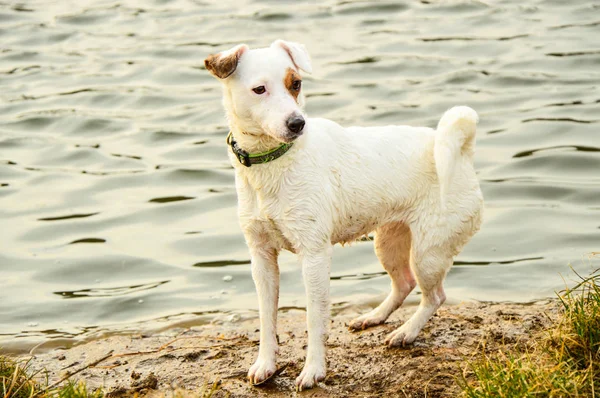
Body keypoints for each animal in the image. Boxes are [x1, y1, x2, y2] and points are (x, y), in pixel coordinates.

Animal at [205, 41, 482, 392]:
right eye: (259, 90)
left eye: (296, 84)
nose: (297, 123)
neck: (273, 161)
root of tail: (463, 152)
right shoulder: (262, 258)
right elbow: (267, 319)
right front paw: (266, 365)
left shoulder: (314, 256)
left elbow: (314, 319)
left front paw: (313, 371)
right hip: (389, 242)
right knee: (404, 283)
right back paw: (374, 317)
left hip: (428, 253)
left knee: (434, 296)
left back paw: (405, 332)